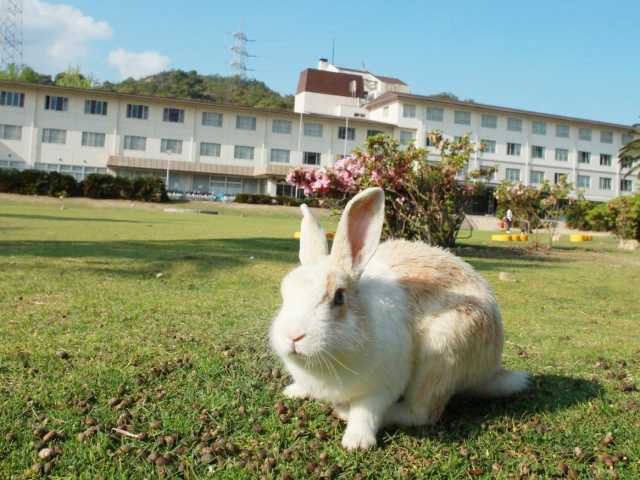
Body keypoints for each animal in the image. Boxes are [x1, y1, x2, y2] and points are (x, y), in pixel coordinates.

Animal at [268, 188, 528, 450]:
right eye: (285, 291)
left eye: (339, 297)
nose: (293, 336)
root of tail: (490, 369)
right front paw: (294, 391)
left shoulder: (381, 387)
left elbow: (367, 412)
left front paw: (357, 442)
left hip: (442, 356)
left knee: (421, 412)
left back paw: (351, 412)